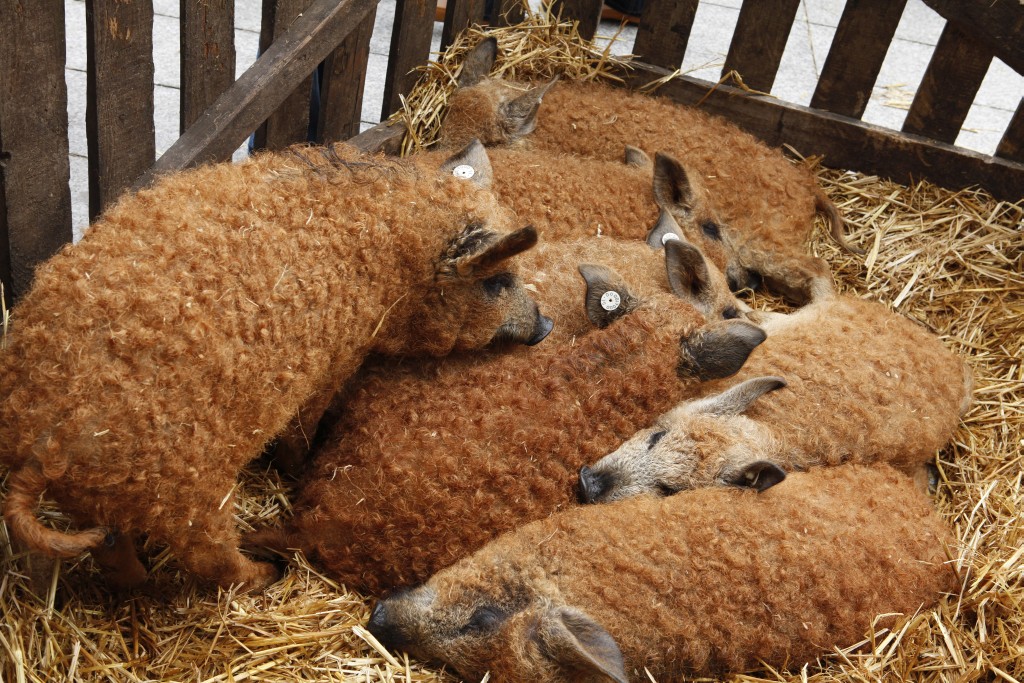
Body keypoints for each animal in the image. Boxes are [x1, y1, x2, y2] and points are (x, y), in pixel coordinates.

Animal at [0, 141, 552, 591]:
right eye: (496, 281)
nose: (545, 325)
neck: (392, 259)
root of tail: (43, 444)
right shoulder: (334, 359)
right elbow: (301, 431)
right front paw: (299, 466)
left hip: (100, 502)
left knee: (115, 551)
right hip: (189, 496)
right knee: (213, 561)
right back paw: (266, 573)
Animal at [440, 37, 854, 303]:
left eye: (488, 142)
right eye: (440, 133)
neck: (539, 132)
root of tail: (808, 184)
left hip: (767, 245)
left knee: (818, 268)